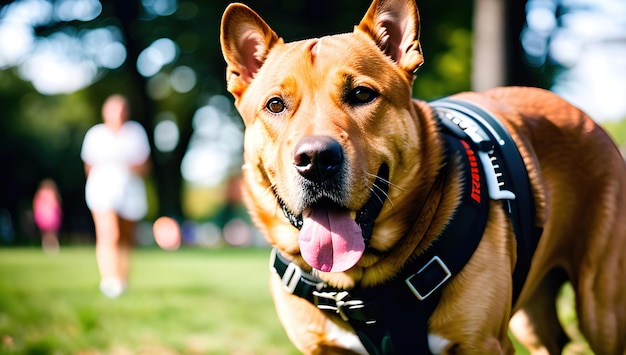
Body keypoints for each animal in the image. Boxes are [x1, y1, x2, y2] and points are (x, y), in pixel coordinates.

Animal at [218, 0, 624, 354]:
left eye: (361, 94)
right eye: (275, 104)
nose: (316, 159)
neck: (359, 283)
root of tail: (581, 115)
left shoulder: (482, 343)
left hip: (601, 311)